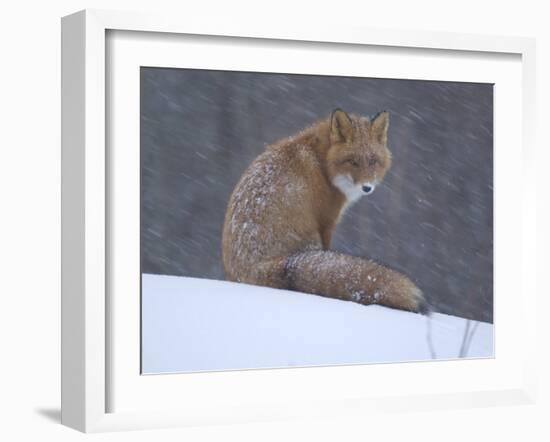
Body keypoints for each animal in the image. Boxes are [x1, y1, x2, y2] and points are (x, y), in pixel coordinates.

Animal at [222, 110, 430, 314]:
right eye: (352, 161)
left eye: (373, 161)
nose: (367, 188)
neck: (322, 162)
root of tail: (254, 268)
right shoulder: (327, 220)